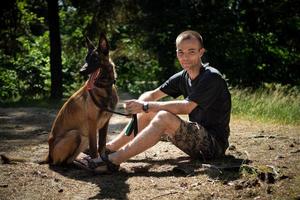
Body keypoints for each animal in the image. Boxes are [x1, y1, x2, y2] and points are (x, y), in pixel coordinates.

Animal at [46, 32, 118, 165]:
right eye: (86, 59)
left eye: (95, 59)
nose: (81, 71)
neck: (105, 88)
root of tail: (49, 155)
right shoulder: (92, 123)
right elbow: (94, 147)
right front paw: (95, 162)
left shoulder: (105, 122)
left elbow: (102, 145)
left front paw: (104, 160)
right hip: (76, 134)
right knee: (60, 162)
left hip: (83, 138)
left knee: (69, 160)